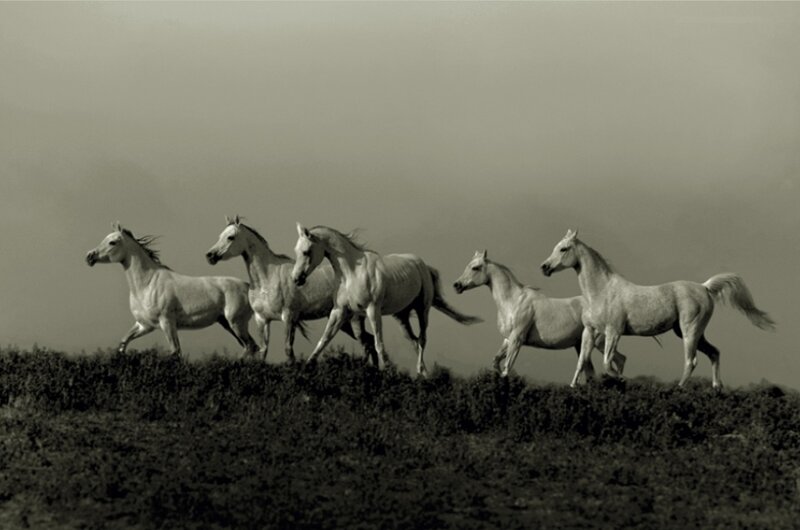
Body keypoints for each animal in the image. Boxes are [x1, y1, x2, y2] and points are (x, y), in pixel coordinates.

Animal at [86, 222, 258, 357]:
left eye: (112, 242)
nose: (89, 257)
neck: (147, 284)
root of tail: (247, 286)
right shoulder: (144, 325)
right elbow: (123, 344)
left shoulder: (167, 322)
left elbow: (175, 352)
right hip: (227, 324)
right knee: (251, 347)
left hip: (236, 323)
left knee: (250, 346)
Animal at [205, 216, 377, 362]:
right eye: (220, 235)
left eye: (230, 237)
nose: (210, 255)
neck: (266, 280)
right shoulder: (262, 320)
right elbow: (263, 351)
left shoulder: (289, 318)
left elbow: (288, 351)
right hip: (341, 321)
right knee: (370, 341)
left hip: (353, 319)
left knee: (367, 343)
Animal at [291, 223, 481, 375]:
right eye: (296, 251)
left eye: (306, 252)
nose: (296, 279)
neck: (352, 273)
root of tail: (423, 265)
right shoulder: (340, 311)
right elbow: (324, 339)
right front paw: (306, 367)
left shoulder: (372, 310)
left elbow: (378, 343)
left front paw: (389, 370)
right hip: (402, 317)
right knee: (414, 341)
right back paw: (423, 374)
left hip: (422, 310)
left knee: (422, 339)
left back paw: (422, 372)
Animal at [453, 250, 626, 381]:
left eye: (475, 267)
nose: (457, 285)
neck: (513, 301)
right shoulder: (507, 339)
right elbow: (496, 362)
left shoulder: (517, 339)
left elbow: (507, 368)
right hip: (582, 345)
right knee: (591, 374)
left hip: (599, 343)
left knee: (619, 360)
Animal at [540, 229, 775, 388]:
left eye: (564, 248)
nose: (544, 267)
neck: (602, 291)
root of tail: (705, 287)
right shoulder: (590, 331)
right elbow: (582, 362)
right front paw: (574, 387)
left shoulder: (613, 331)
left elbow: (607, 362)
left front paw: (621, 379)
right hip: (691, 332)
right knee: (714, 353)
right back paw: (717, 388)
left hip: (690, 331)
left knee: (691, 361)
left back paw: (679, 388)